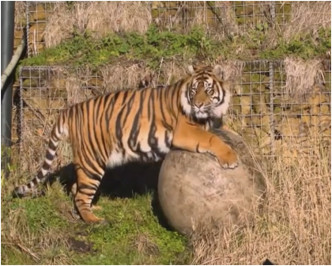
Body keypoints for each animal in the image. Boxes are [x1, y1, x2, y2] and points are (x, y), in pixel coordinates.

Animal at [14, 65, 239, 223]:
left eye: (208, 90)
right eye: (194, 90)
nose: (198, 105)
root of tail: (69, 110)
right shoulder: (184, 131)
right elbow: (211, 138)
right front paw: (231, 158)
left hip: (87, 164)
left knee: (76, 189)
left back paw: (92, 210)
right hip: (92, 162)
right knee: (81, 195)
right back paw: (94, 220)